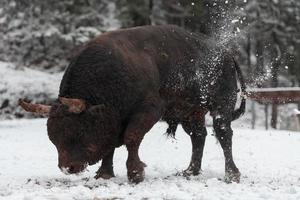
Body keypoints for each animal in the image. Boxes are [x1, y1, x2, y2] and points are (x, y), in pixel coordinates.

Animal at [20, 25, 246, 184]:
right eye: (53, 138)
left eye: (78, 130)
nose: (68, 168)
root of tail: (227, 54)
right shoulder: (115, 121)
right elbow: (110, 145)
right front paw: (104, 174)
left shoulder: (148, 111)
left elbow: (131, 138)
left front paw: (136, 173)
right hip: (190, 112)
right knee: (198, 136)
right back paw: (190, 171)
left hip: (221, 107)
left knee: (223, 134)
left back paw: (232, 174)